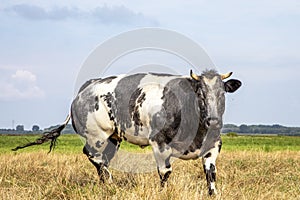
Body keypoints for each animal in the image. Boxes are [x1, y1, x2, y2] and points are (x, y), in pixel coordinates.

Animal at [12, 69, 241, 195]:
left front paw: (213, 193)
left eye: (222, 94)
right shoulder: (159, 142)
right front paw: (163, 192)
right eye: (200, 93)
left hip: (114, 138)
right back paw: (110, 183)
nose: (214, 120)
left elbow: (211, 173)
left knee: (104, 159)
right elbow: (165, 172)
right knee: (95, 157)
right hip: (97, 136)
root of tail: (88, 86)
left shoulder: (213, 145)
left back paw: (105, 184)